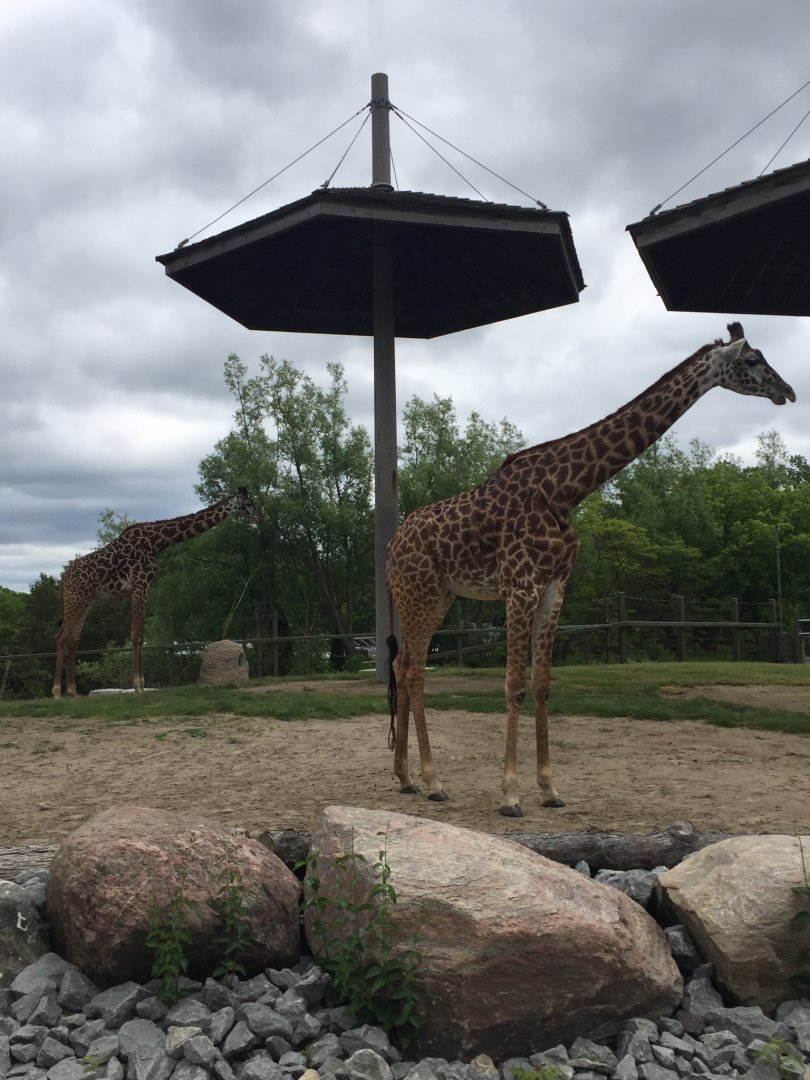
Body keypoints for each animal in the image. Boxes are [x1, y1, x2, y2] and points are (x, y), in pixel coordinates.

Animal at [52, 488, 260, 698]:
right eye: (249, 503)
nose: (260, 518)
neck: (157, 542)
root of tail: (63, 580)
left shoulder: (146, 588)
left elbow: (141, 636)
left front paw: (142, 685)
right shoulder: (139, 585)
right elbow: (136, 635)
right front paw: (137, 685)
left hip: (87, 602)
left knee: (72, 638)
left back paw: (72, 692)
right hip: (76, 599)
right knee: (62, 637)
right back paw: (57, 692)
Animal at [386, 323, 796, 817]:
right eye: (752, 360)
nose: (788, 391)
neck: (566, 490)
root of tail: (390, 547)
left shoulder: (554, 586)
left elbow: (542, 685)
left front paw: (549, 789)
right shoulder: (520, 585)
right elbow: (513, 684)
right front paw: (510, 795)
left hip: (438, 595)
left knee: (402, 663)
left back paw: (406, 777)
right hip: (420, 592)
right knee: (414, 670)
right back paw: (433, 781)